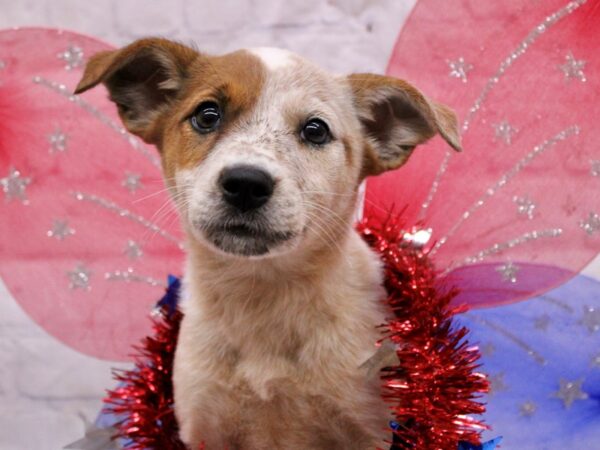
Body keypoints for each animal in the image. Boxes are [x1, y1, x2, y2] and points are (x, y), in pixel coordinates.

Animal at [74, 38, 460, 450]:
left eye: (316, 130)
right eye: (207, 115)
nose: (246, 183)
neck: (262, 297)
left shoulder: (371, 428)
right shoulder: (204, 426)